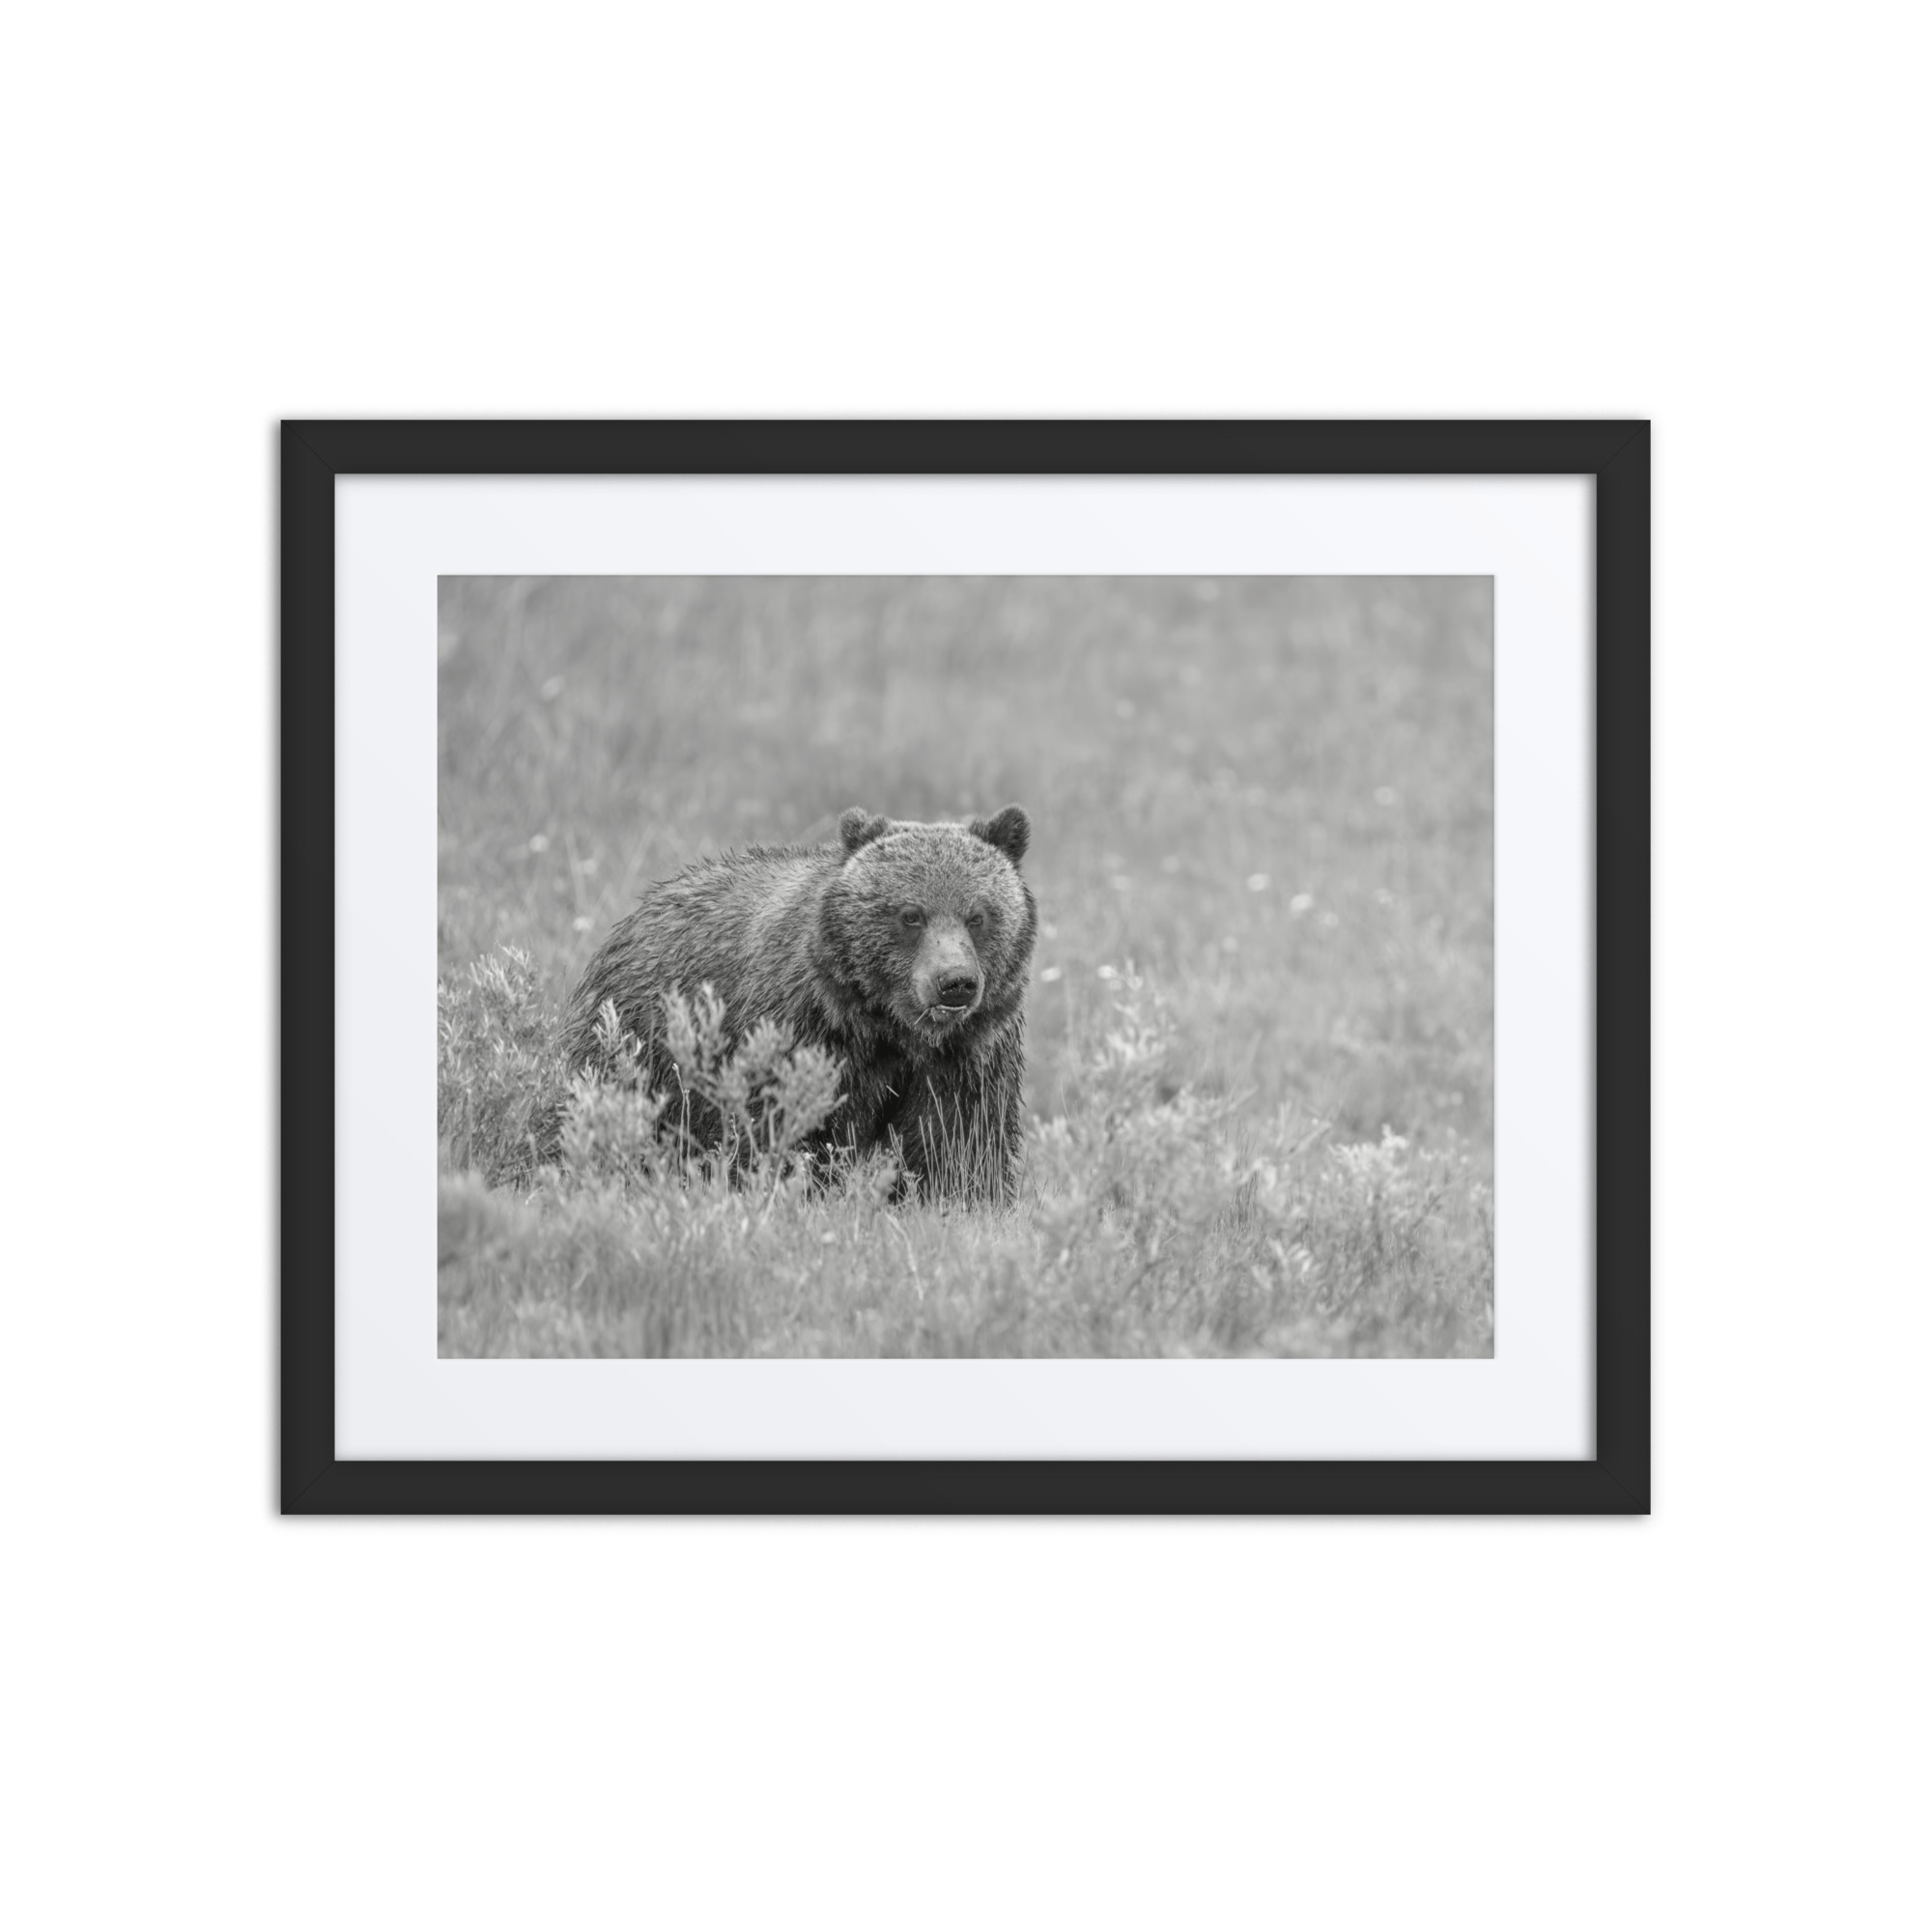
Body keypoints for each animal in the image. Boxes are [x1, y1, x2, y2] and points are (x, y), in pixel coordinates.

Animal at [560, 805, 1037, 1203]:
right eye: (911, 915)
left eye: (978, 915)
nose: (955, 983)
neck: (890, 1028)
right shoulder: (803, 1030)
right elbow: (786, 1126)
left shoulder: (968, 1054)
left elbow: (959, 1142)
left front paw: (961, 1199)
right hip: (640, 1041)